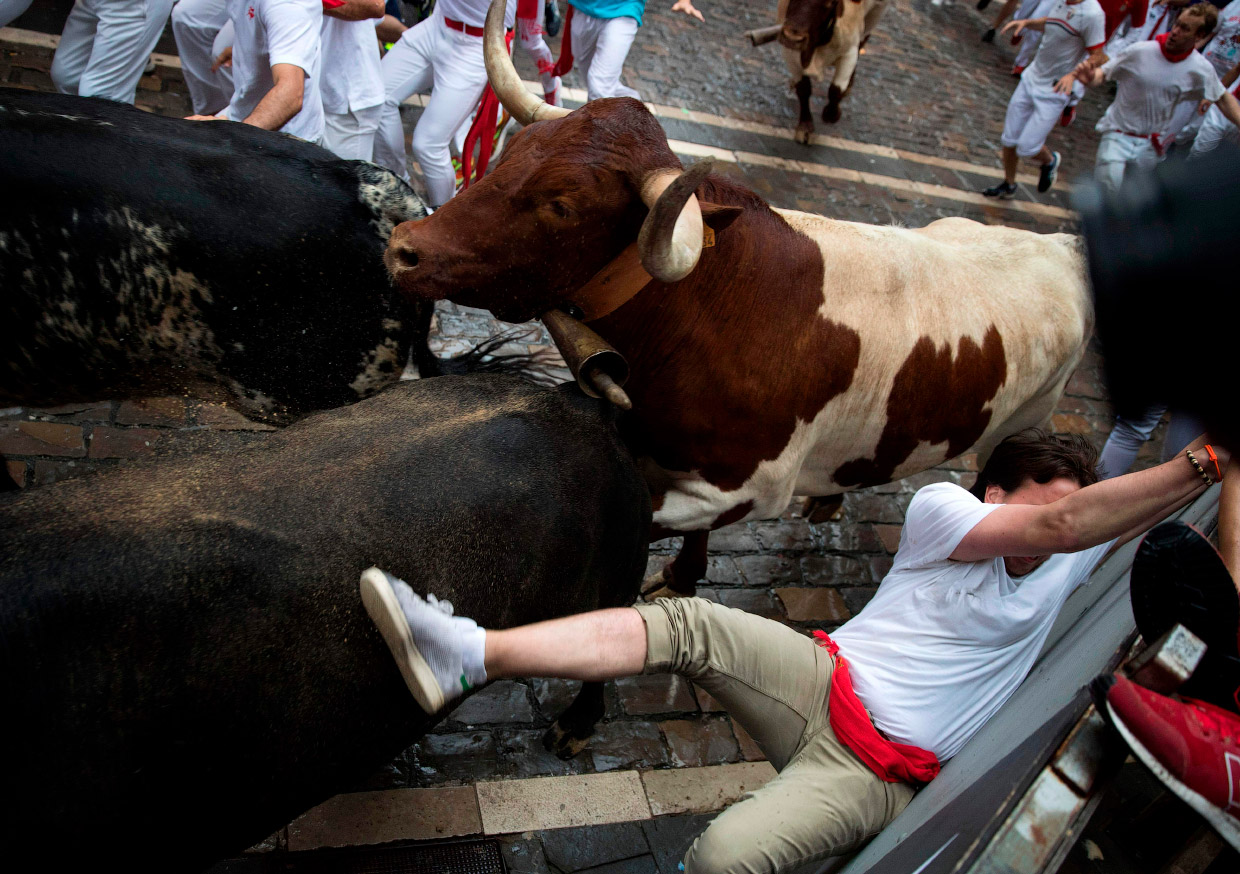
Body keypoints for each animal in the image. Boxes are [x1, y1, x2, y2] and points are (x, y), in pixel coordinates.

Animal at [778, 0, 887, 138]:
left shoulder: (849, 53)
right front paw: (805, 125)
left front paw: (832, 114)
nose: (792, 37)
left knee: (863, 41)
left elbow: (836, 89)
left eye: (831, 3)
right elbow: (803, 89)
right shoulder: (790, 54)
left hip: (875, 14)